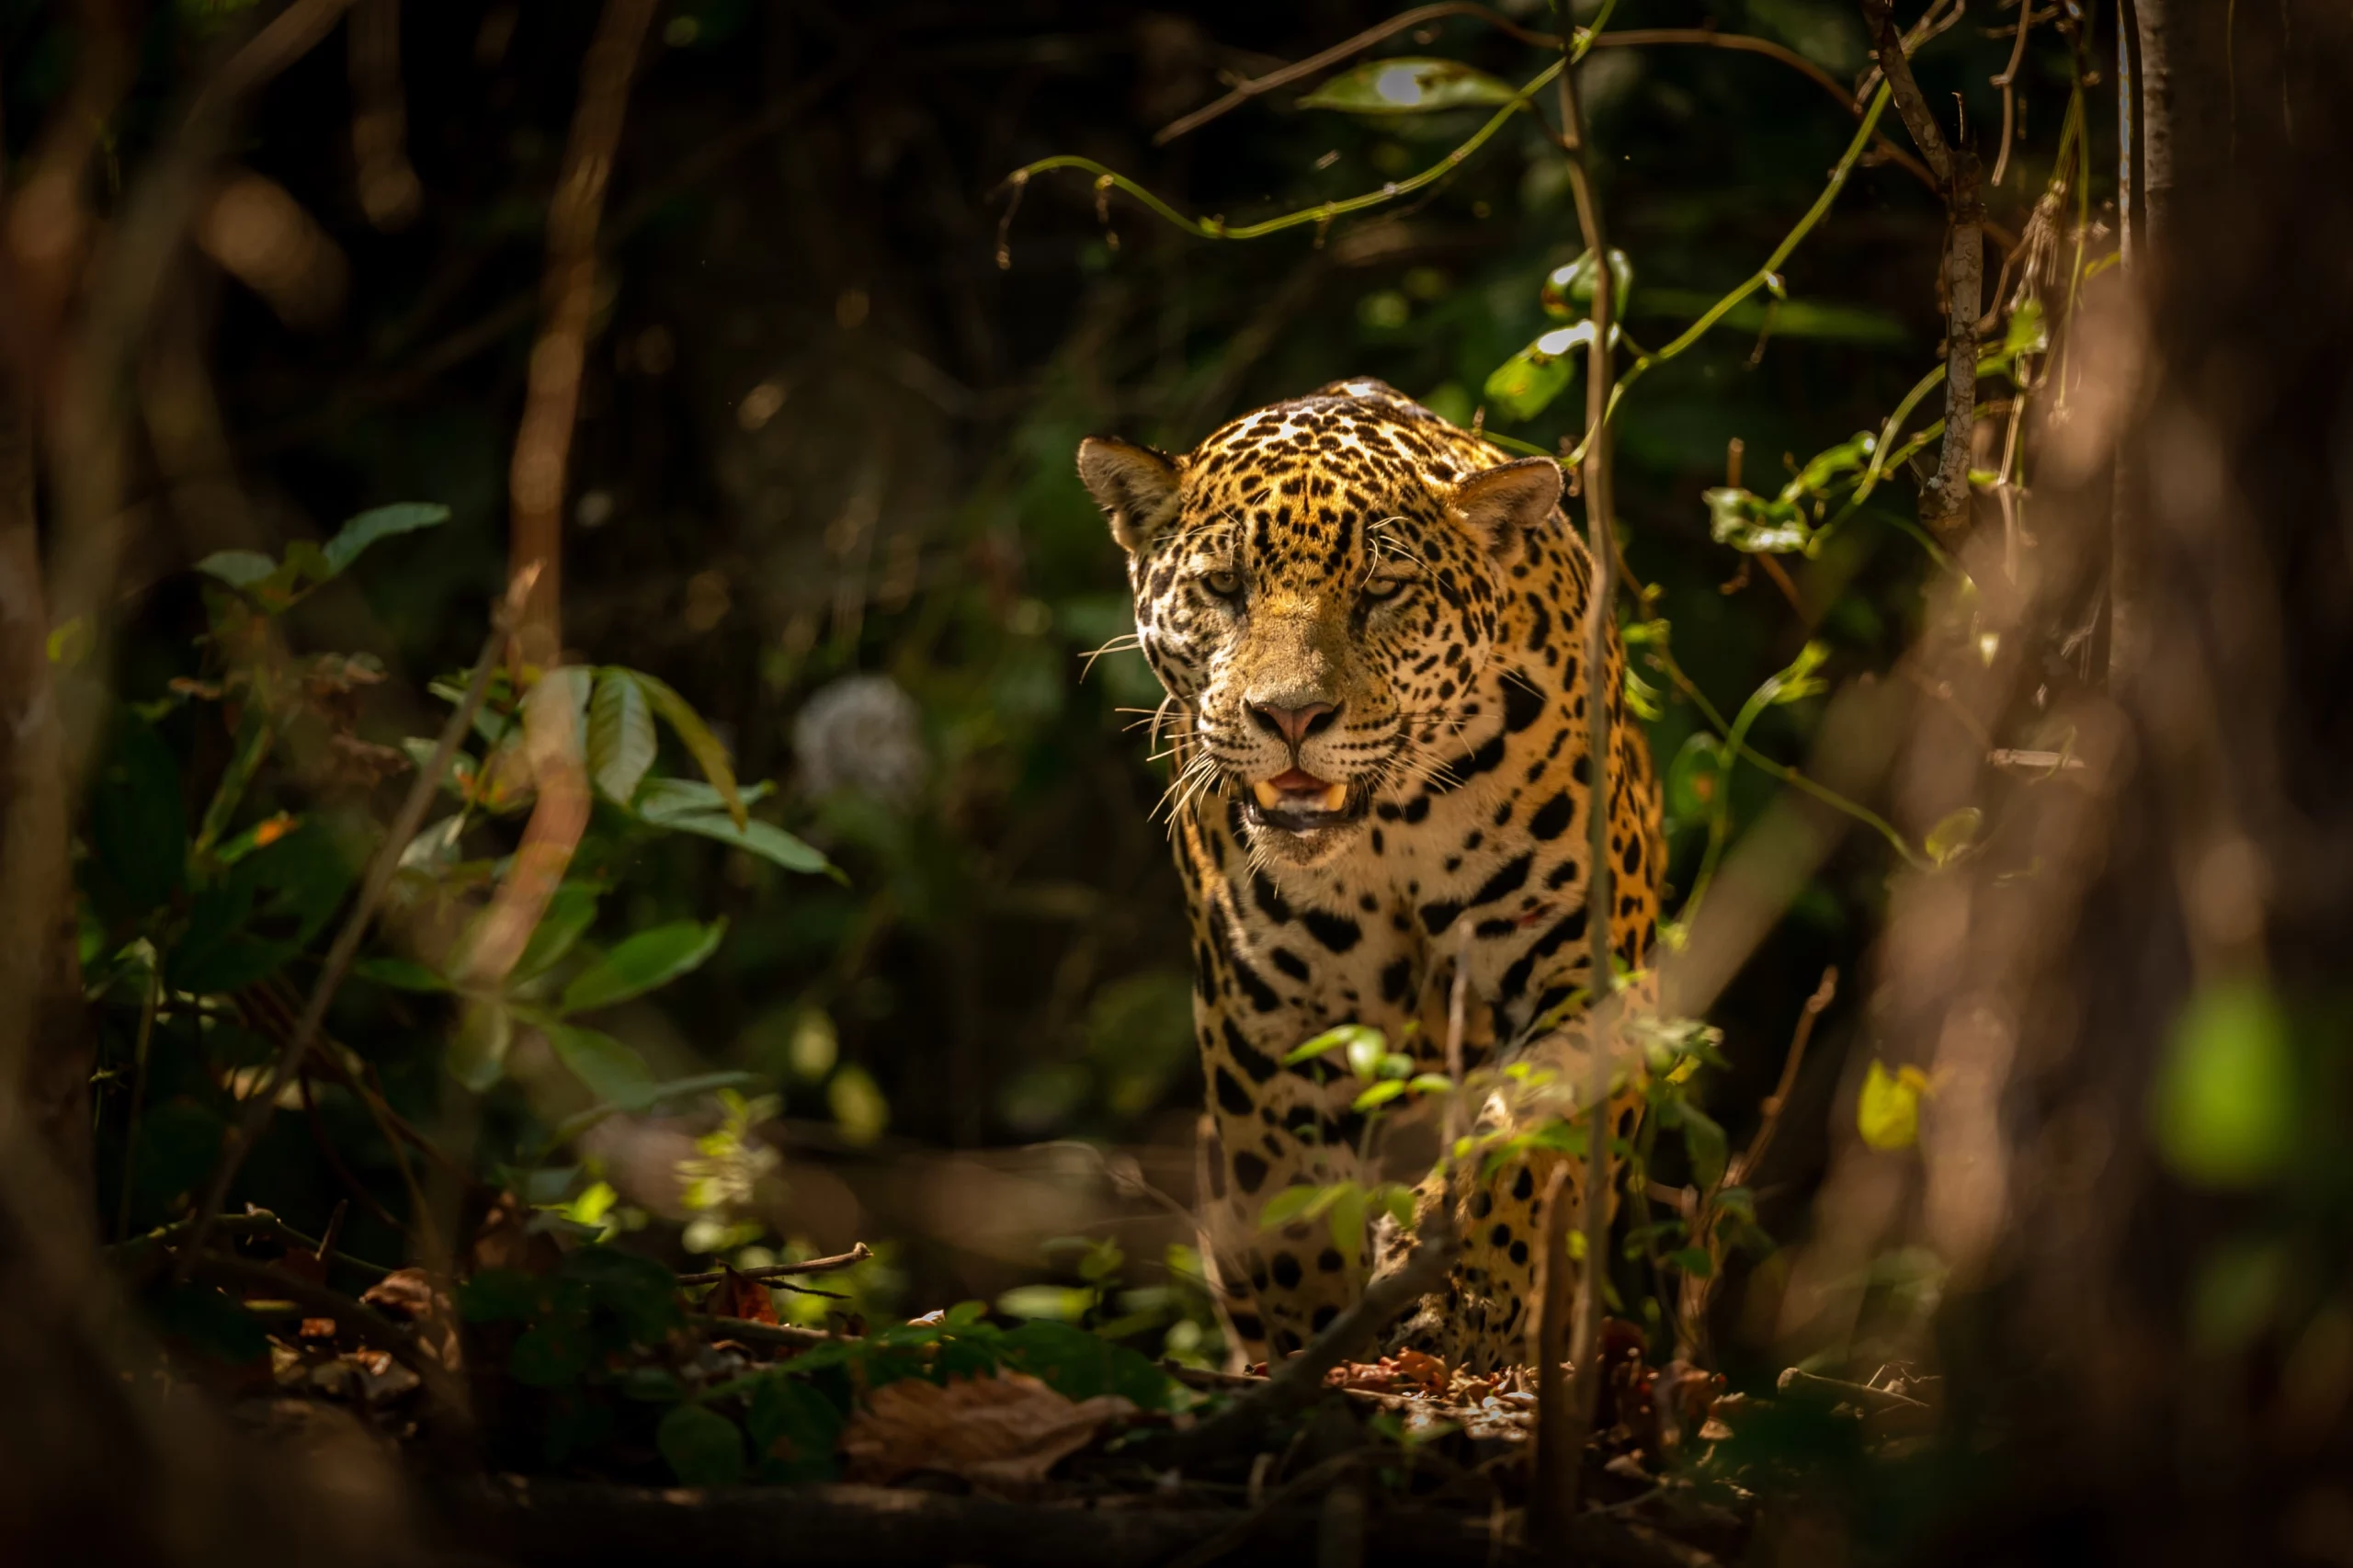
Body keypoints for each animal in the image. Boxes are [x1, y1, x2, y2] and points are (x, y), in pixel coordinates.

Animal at [1077, 378, 1665, 1374]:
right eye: (1224, 587)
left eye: (1382, 592)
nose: (1289, 716)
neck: (1393, 824)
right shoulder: (1270, 1021)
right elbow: (1295, 1215)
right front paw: (1325, 1347)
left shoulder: (1583, 968)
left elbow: (1523, 1140)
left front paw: (1463, 1299)